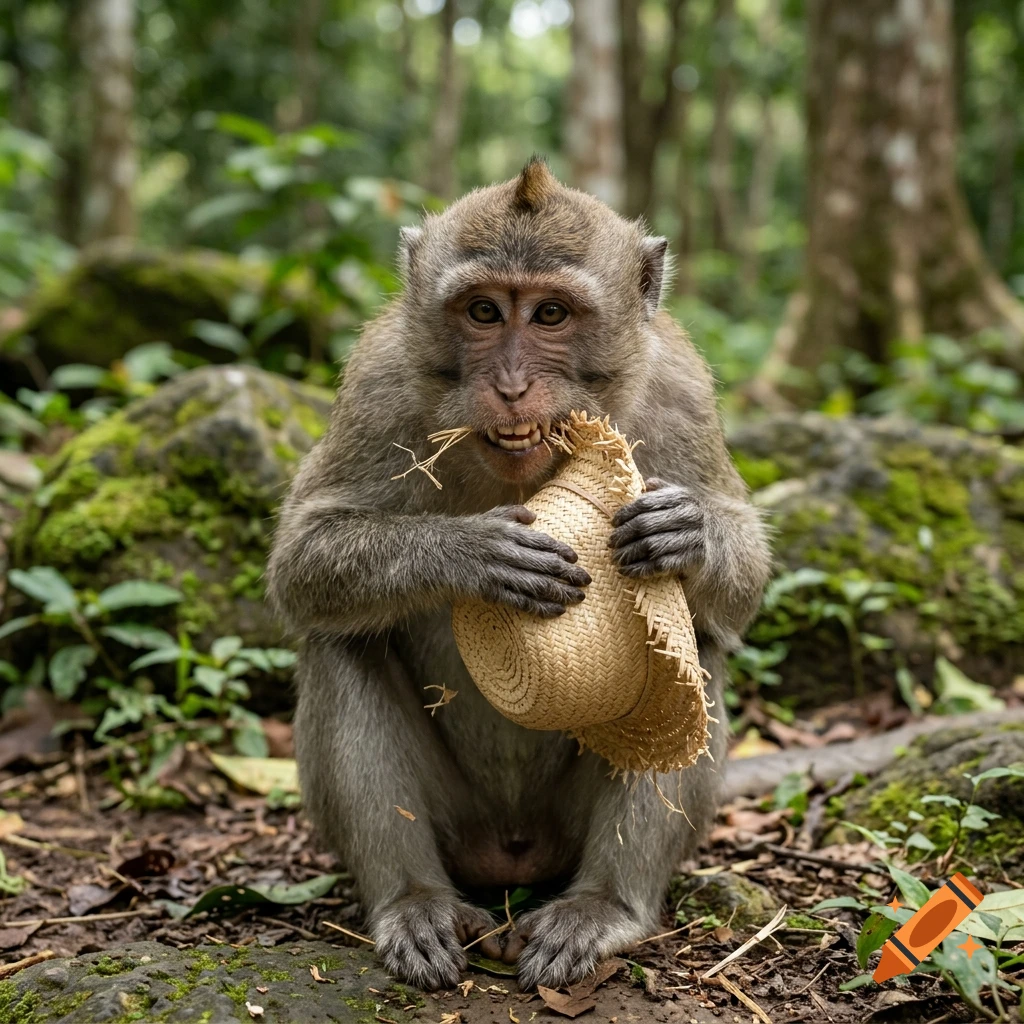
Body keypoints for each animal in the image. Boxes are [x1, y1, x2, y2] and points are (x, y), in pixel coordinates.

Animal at [266, 159, 772, 992]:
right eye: (482, 311)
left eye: (550, 315)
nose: (508, 385)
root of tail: (511, 851)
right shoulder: (378, 380)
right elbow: (303, 559)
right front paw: (472, 555)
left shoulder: (682, 391)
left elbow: (744, 582)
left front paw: (686, 532)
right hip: (458, 822)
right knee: (341, 642)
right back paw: (414, 902)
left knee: (694, 644)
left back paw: (606, 906)